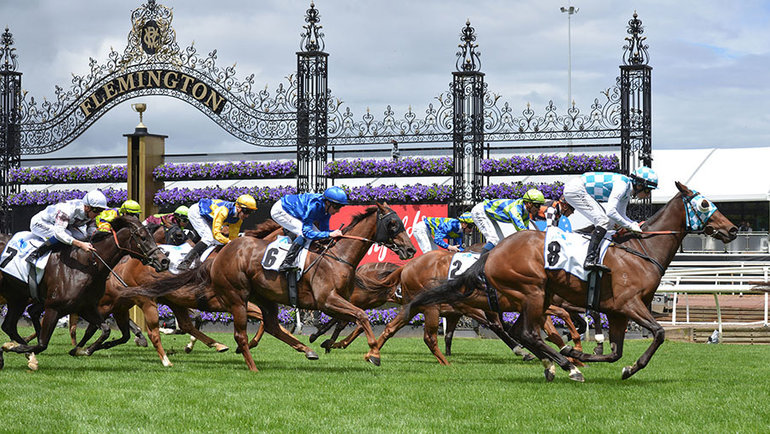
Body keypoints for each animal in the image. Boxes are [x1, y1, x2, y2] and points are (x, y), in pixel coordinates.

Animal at [0, 217, 168, 370]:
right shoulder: (55, 307)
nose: (164, 261)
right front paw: (13, 347)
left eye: (152, 237)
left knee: (9, 325)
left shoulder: (87, 307)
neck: (87, 266)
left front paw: (82, 350)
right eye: (142, 237)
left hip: (17, 298)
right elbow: (43, 344)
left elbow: (106, 330)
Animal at [376, 181, 736, 382]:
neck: (641, 250)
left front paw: (590, 355)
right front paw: (589, 358)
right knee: (524, 332)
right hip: (531, 292)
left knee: (518, 330)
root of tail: (493, 253)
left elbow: (614, 351)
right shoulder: (628, 303)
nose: (731, 229)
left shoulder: (616, 310)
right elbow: (659, 333)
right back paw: (563, 365)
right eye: (705, 203)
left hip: (533, 296)